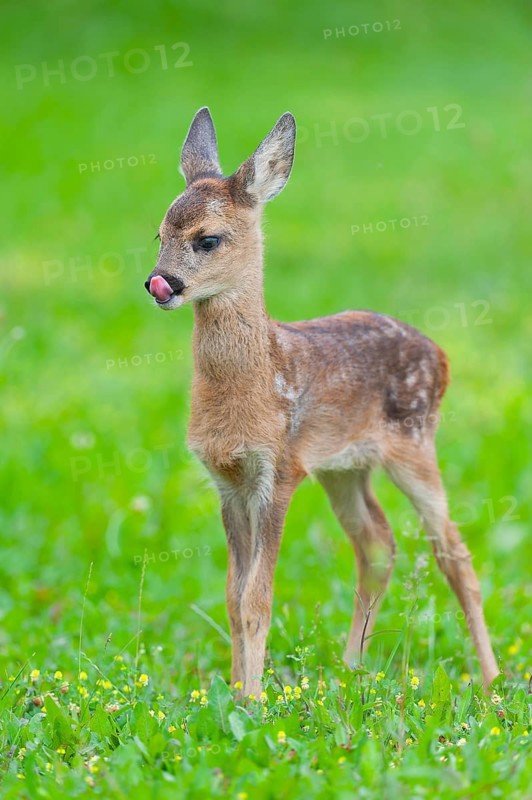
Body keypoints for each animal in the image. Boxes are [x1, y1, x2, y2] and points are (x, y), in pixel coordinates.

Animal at [144, 107, 499, 696]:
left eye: (208, 240)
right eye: (160, 232)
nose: (160, 284)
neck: (255, 384)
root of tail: (443, 353)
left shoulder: (281, 469)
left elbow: (256, 598)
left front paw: (254, 700)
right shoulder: (227, 479)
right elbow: (232, 594)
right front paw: (234, 692)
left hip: (415, 445)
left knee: (453, 553)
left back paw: (492, 679)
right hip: (344, 468)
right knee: (378, 546)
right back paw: (351, 668)